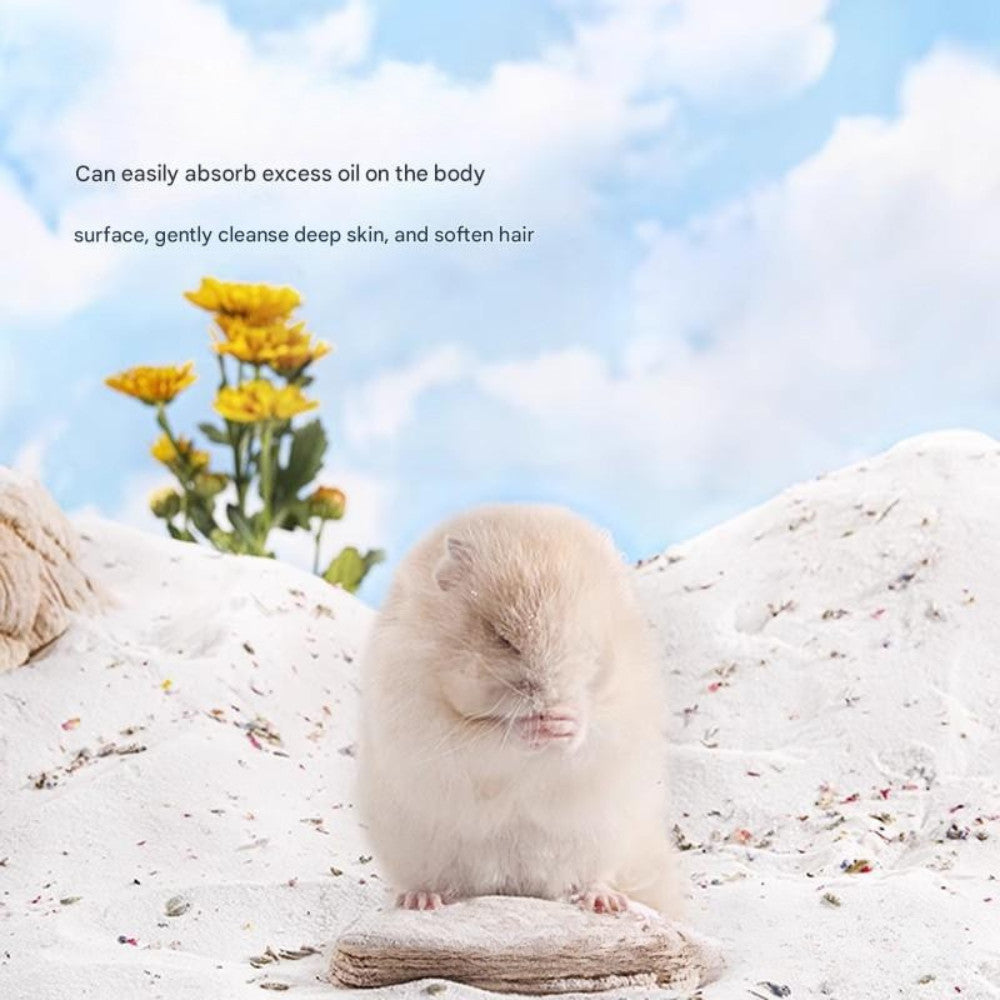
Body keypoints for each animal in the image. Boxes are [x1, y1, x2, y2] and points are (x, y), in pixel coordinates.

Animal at [357, 503, 676, 914]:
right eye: (502, 638)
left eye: (587, 639)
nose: (551, 702)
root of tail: (516, 885)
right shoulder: (429, 722)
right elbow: (492, 738)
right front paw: (533, 727)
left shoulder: (623, 706)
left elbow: (593, 729)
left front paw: (564, 722)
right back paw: (422, 900)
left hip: (607, 837)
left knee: (592, 877)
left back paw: (604, 902)